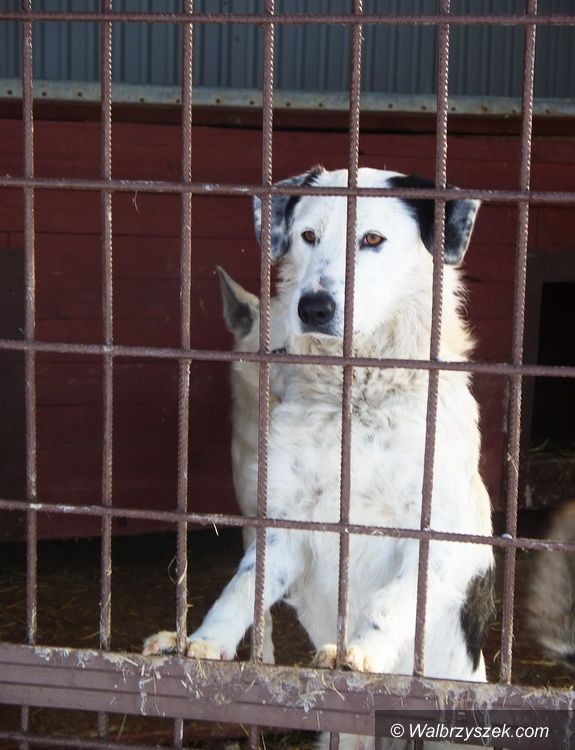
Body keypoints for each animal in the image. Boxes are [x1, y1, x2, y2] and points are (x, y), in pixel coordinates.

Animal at [144, 167, 495, 748]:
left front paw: (361, 651)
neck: (358, 397)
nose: (313, 307)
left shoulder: (442, 537)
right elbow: (243, 588)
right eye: (307, 236)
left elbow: (393, 600)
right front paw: (203, 642)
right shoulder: (285, 522)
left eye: (372, 239)